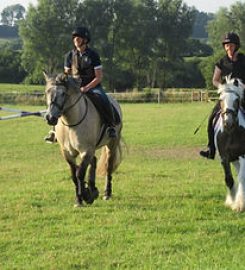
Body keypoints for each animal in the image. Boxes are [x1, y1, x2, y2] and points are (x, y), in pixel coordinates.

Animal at [43, 72, 122, 207]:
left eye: (63, 93)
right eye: (47, 91)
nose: (50, 118)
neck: (71, 124)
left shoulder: (86, 150)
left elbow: (79, 173)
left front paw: (85, 196)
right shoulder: (67, 153)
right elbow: (74, 175)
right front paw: (80, 198)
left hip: (111, 145)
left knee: (108, 167)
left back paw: (107, 193)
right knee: (94, 161)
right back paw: (93, 188)